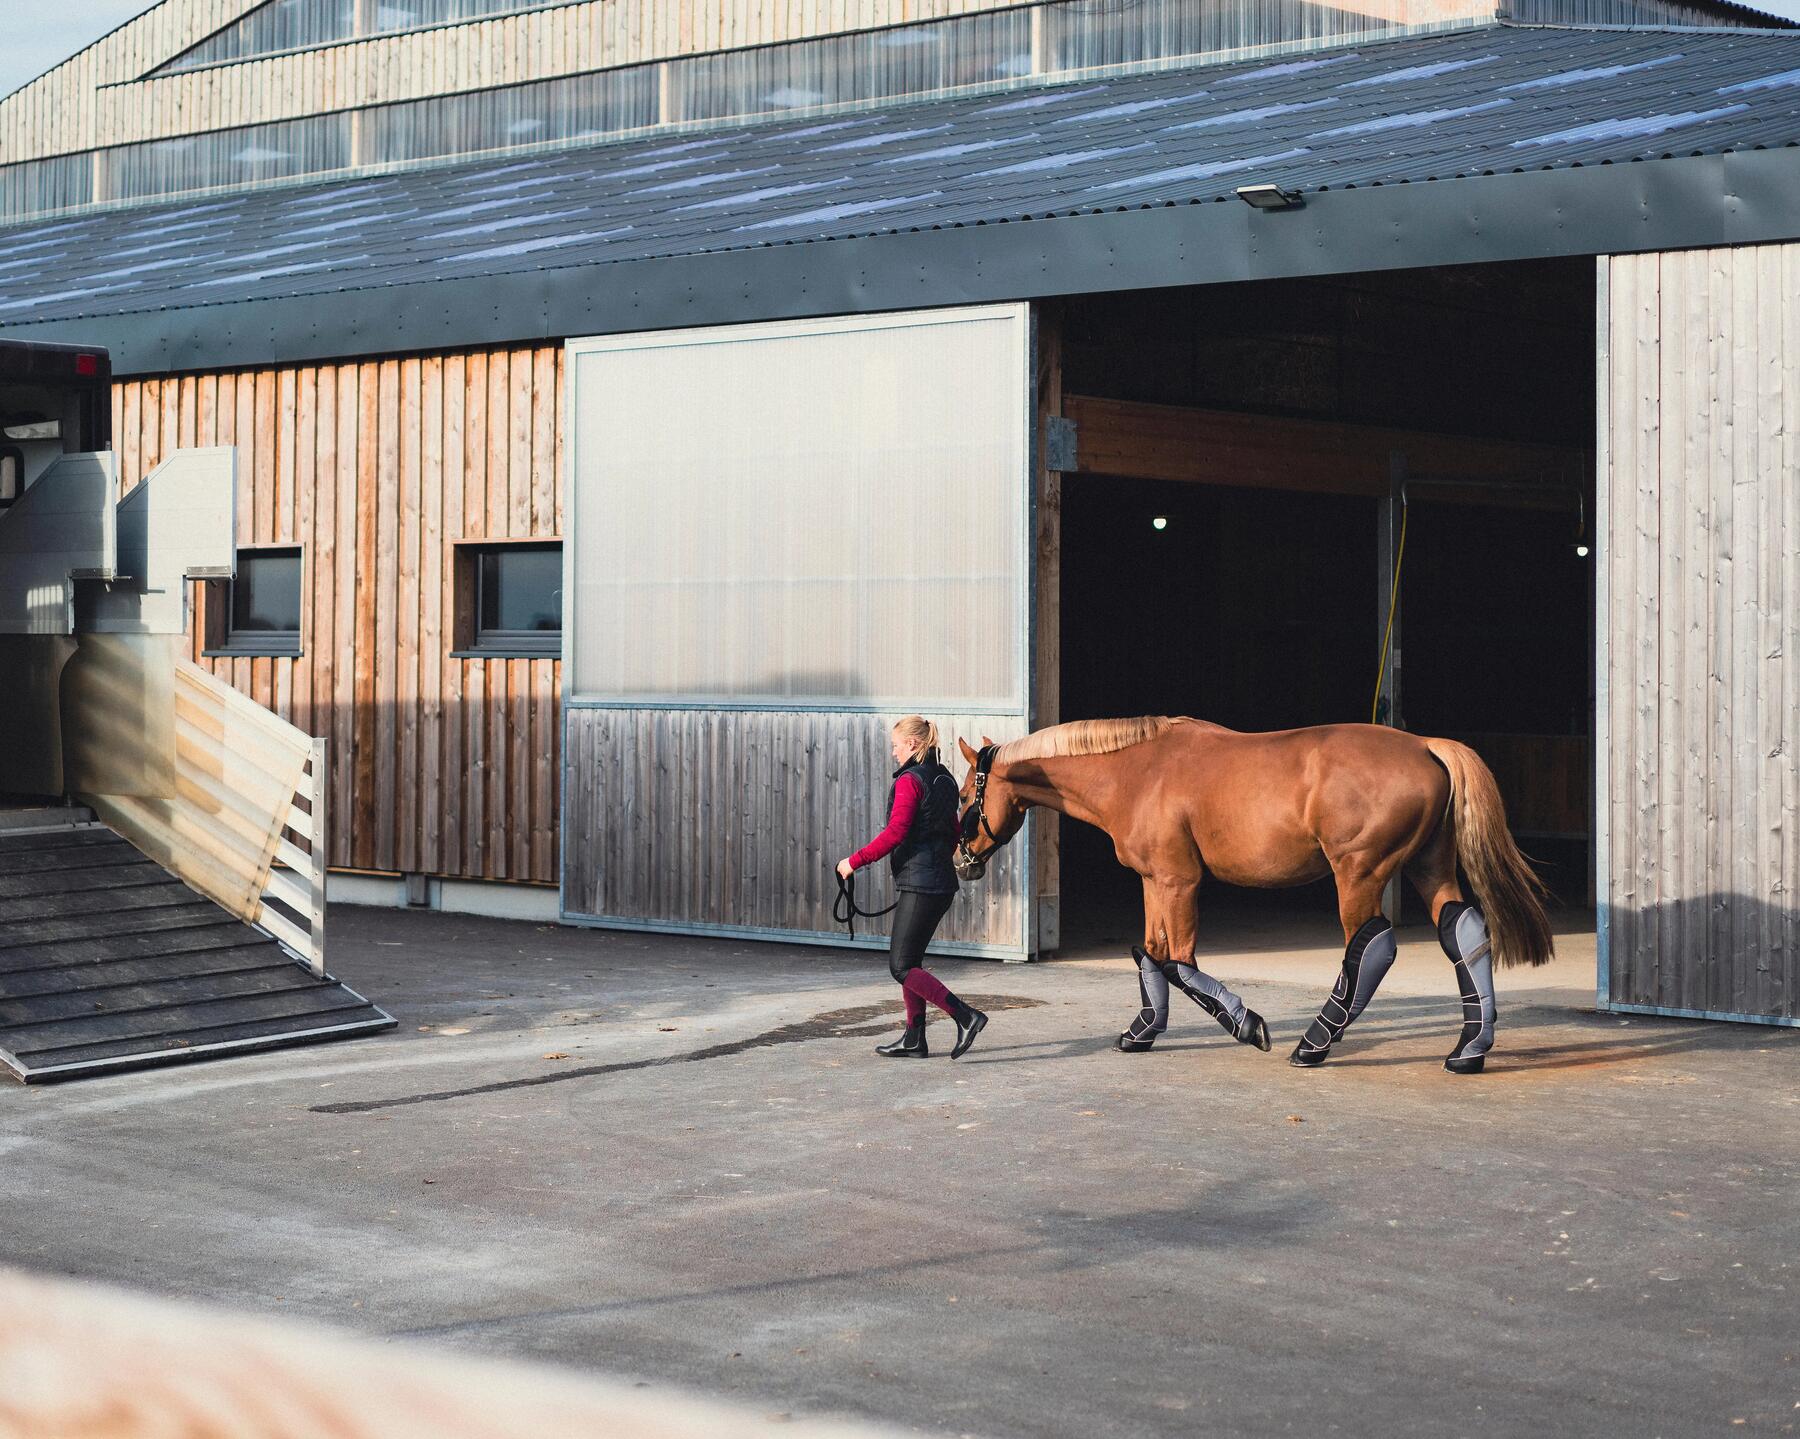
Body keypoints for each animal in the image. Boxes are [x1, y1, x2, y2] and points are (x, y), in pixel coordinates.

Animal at [950, 720, 1555, 1066]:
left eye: (961, 795)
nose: (961, 861)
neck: (1137, 770)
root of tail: (1427, 745)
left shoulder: (1179, 882)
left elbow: (1178, 962)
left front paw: (1247, 1024)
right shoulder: (1154, 881)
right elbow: (1150, 954)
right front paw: (1141, 1033)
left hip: (1359, 873)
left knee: (1369, 946)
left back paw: (1315, 1043)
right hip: (1430, 869)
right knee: (1463, 930)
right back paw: (1470, 1049)